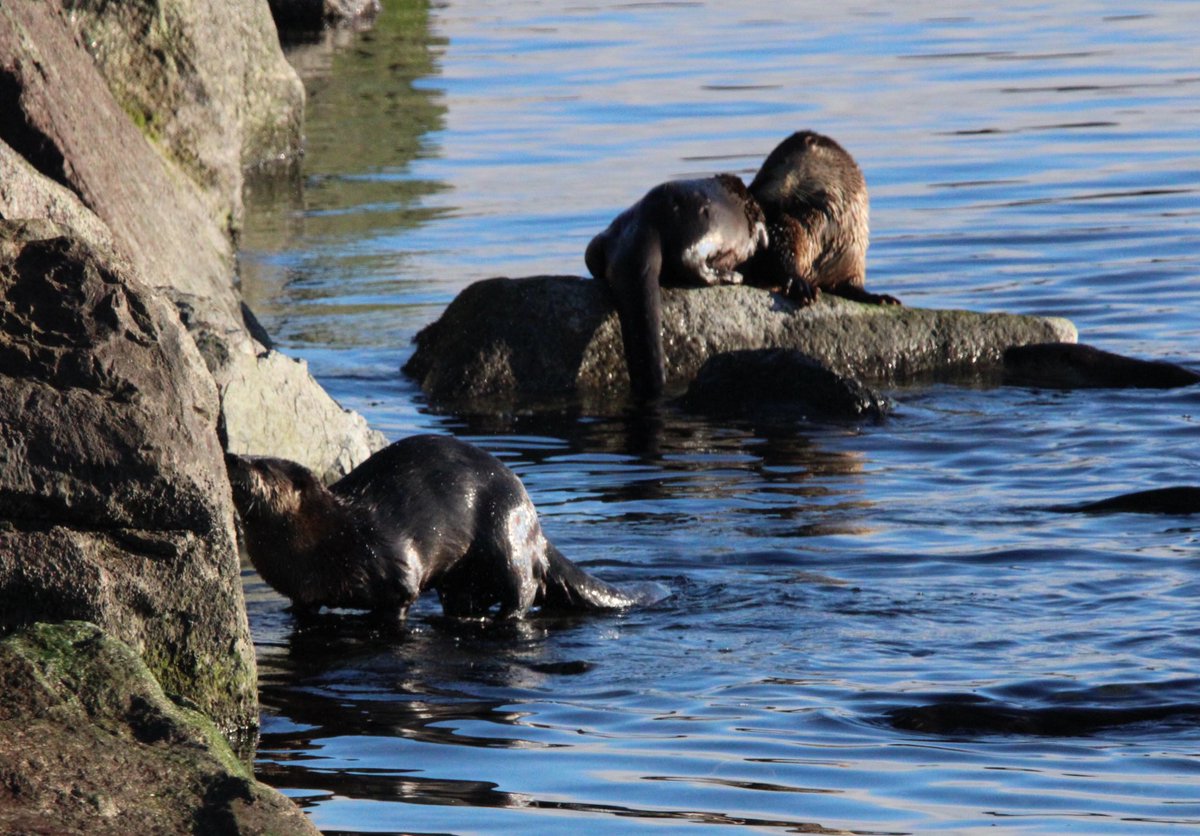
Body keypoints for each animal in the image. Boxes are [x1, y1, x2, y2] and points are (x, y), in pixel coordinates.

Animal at [226, 434, 656, 622]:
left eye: (261, 465)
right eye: (247, 451)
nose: (230, 455)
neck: (329, 540)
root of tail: (535, 524)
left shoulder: (391, 563)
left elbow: (402, 597)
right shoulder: (305, 592)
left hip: (506, 530)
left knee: (524, 587)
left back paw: (503, 618)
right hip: (465, 576)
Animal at [744, 130, 899, 306]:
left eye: (768, 174)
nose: (750, 189)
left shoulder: (851, 256)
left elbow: (852, 286)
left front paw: (880, 297)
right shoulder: (784, 227)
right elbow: (779, 257)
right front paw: (801, 286)